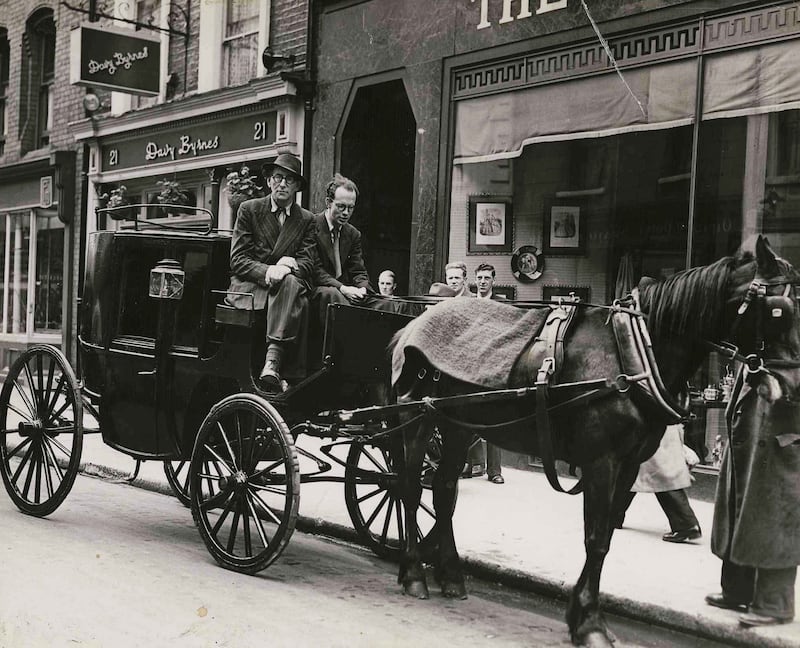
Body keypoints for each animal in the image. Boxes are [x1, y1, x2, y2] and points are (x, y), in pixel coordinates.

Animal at [390, 235, 800, 644]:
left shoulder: (630, 462)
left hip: (459, 425)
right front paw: (589, 621)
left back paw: (451, 575)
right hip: (417, 418)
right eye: (779, 310)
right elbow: (596, 537)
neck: (634, 351)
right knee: (409, 487)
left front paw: (580, 613)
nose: (792, 386)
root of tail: (413, 324)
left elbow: (606, 537)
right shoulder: (602, 461)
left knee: (444, 491)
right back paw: (413, 572)